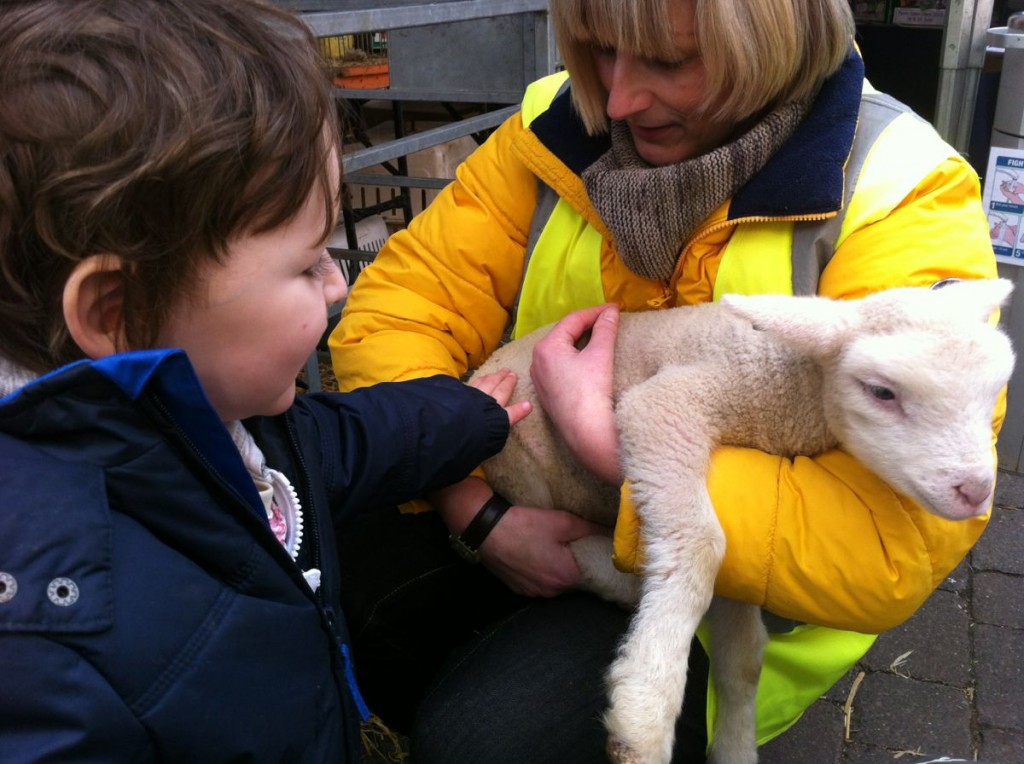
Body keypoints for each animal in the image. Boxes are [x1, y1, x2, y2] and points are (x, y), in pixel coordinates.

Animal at [471, 278, 1015, 761]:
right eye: (882, 392)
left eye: (992, 392)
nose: (975, 491)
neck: (782, 387)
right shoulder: (670, 403)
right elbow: (700, 544)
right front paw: (644, 713)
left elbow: (746, 655)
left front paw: (732, 746)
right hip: (521, 464)